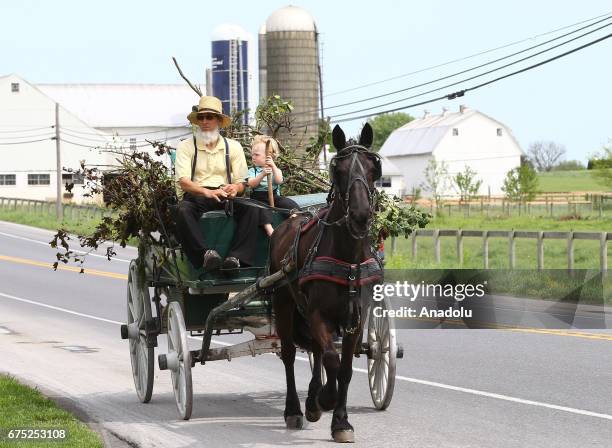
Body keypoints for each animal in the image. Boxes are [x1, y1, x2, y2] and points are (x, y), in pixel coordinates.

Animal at [268, 121, 382, 440]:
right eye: (337, 170)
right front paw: (326, 400)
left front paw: (340, 420)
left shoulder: (356, 318)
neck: (349, 259)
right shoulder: (319, 313)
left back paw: (311, 399)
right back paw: (295, 409)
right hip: (284, 303)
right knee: (290, 354)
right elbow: (332, 359)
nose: (360, 215)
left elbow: (344, 368)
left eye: (374, 167)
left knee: (316, 350)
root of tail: (290, 219)